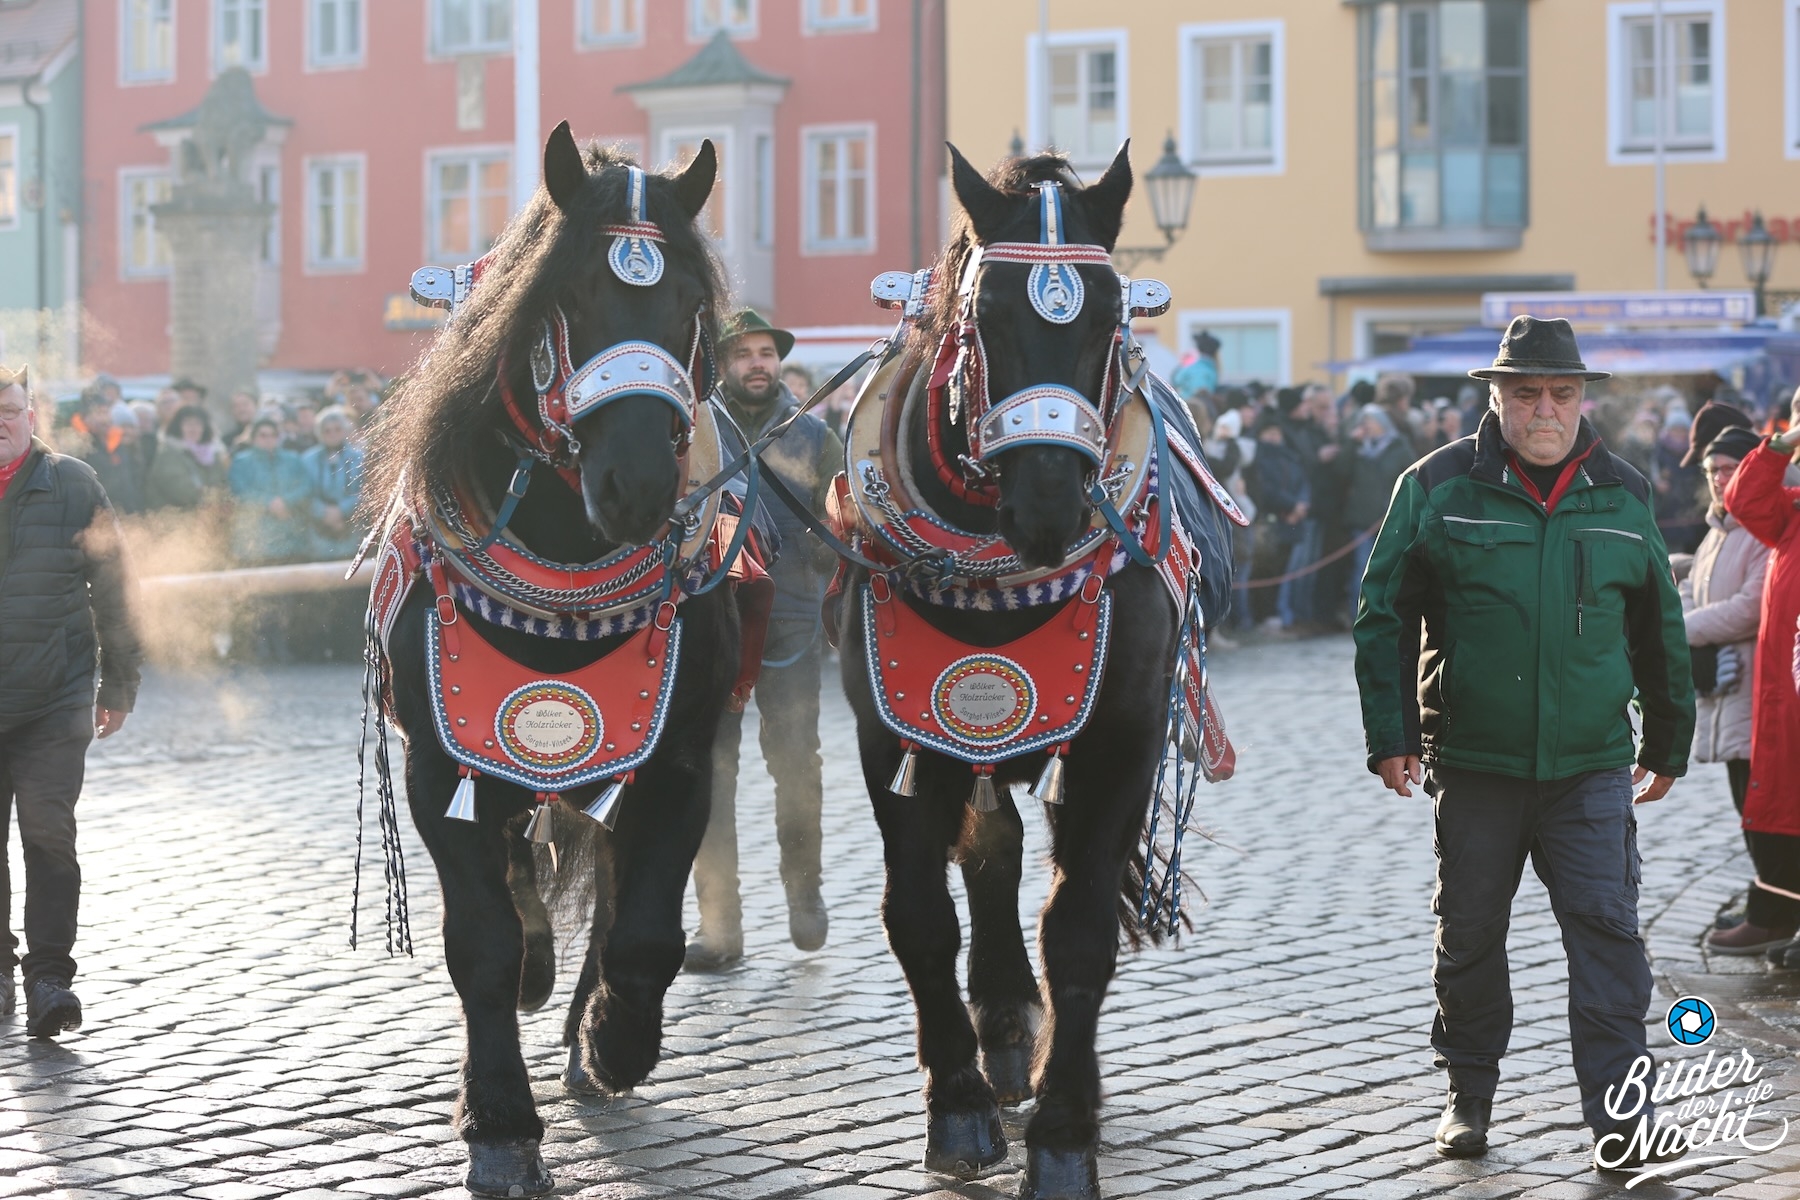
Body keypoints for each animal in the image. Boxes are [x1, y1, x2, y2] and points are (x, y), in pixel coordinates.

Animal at [359, 123, 754, 1198]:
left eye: (692, 304)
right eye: (566, 297)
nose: (638, 485)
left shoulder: (678, 757)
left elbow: (645, 930)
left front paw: (615, 1041)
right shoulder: (440, 767)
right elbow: (482, 944)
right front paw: (497, 1123)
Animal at [831, 144, 1239, 1200]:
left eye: (1110, 317)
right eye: (988, 317)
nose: (1052, 505)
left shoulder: (1117, 741)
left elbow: (1080, 928)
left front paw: (1063, 1134)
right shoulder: (893, 737)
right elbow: (920, 915)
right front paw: (960, 1109)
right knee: (991, 851)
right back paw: (1004, 1028)